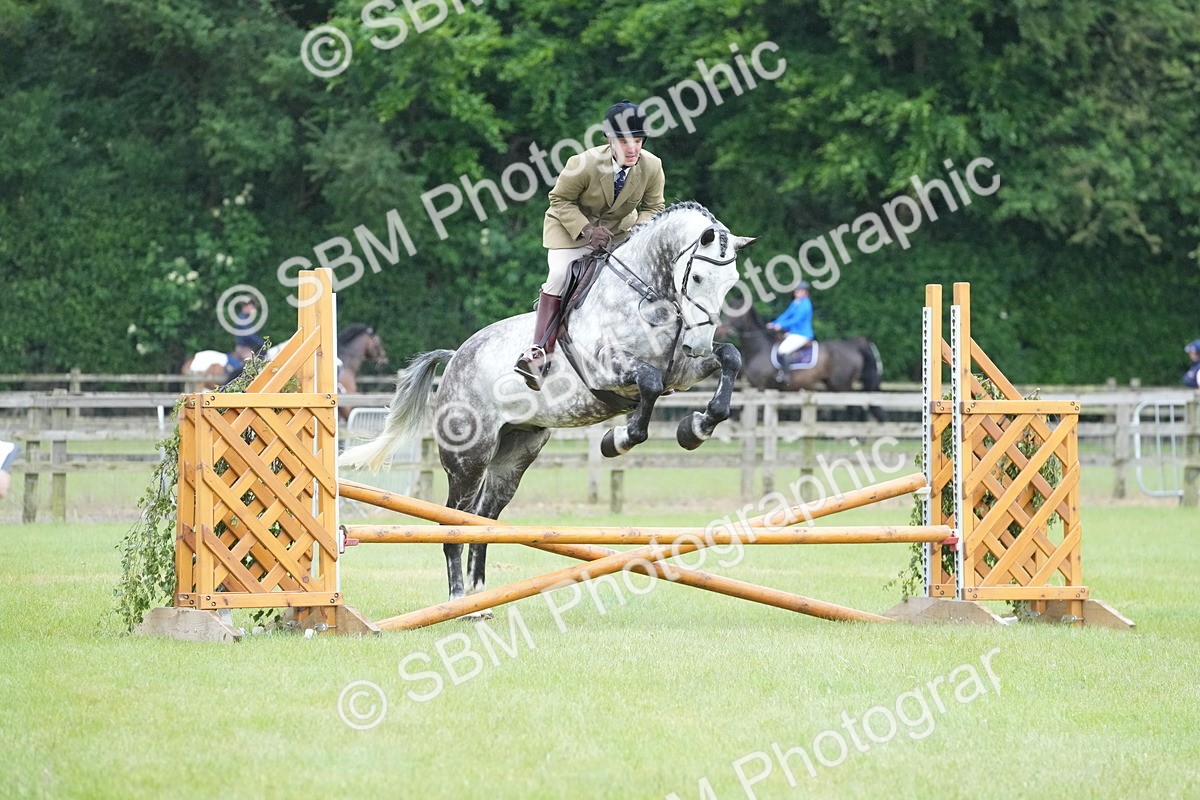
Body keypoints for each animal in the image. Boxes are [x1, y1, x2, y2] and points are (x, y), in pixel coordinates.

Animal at [340, 201, 755, 613]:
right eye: (697, 277)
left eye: (731, 283)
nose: (698, 343)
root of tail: (456, 356)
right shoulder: (607, 369)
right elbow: (648, 388)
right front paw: (617, 440)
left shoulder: (682, 371)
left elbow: (729, 358)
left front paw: (696, 428)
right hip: (468, 458)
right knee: (453, 522)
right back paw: (458, 600)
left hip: (515, 454)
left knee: (484, 518)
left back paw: (479, 600)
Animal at [721, 304, 885, 421]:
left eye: (735, 314)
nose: (722, 330)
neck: (759, 348)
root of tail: (854, 343)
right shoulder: (757, 387)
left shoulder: (760, 386)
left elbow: (759, 412)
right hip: (832, 385)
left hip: (842, 385)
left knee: (854, 408)